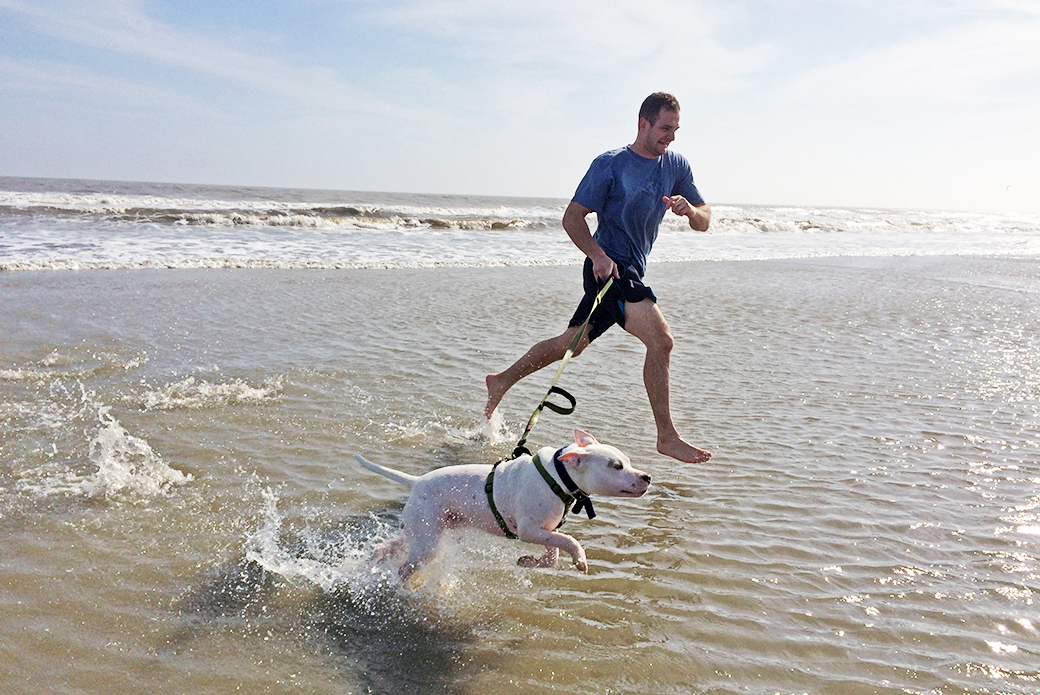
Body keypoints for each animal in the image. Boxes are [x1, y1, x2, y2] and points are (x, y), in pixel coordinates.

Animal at [357, 428, 648, 582]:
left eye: (627, 461)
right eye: (616, 466)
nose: (647, 477)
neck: (558, 476)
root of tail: (417, 481)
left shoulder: (545, 529)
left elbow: (553, 552)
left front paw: (530, 562)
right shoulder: (529, 530)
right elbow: (569, 541)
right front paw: (580, 559)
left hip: (425, 529)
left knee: (390, 546)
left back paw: (375, 557)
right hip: (428, 541)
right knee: (406, 566)